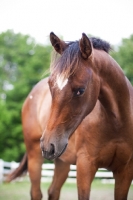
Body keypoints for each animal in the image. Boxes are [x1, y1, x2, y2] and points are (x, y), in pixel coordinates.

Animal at [40, 32, 133, 199]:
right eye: (50, 85)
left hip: (62, 162)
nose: (47, 146)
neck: (117, 124)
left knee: (53, 191)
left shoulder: (125, 171)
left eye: (80, 90)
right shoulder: (85, 166)